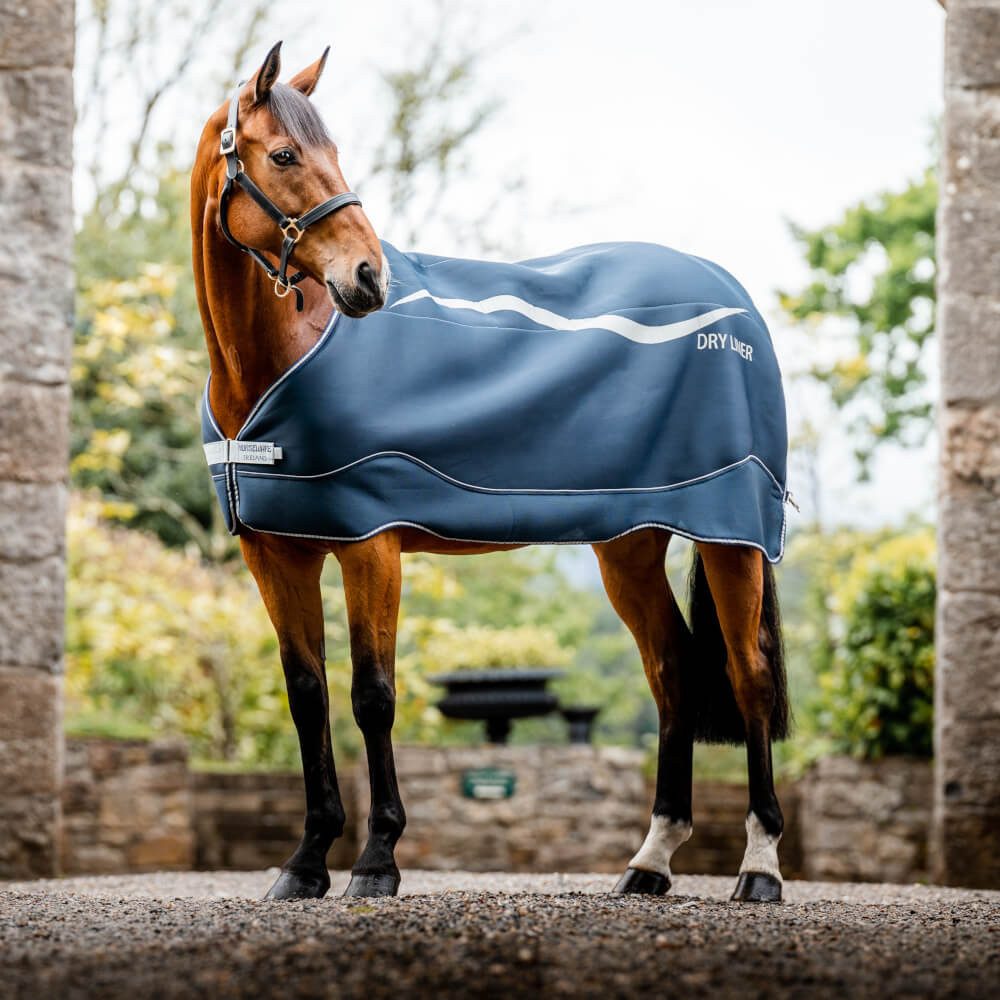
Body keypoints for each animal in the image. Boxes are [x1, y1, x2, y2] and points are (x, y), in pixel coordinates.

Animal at [190, 41, 790, 903]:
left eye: (332, 151)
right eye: (283, 155)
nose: (369, 279)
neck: (275, 361)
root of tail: (733, 299)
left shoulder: (371, 547)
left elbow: (372, 696)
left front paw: (376, 862)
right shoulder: (275, 555)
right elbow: (308, 697)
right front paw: (304, 864)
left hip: (730, 537)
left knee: (748, 679)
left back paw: (760, 868)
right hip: (630, 546)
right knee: (673, 671)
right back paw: (649, 862)